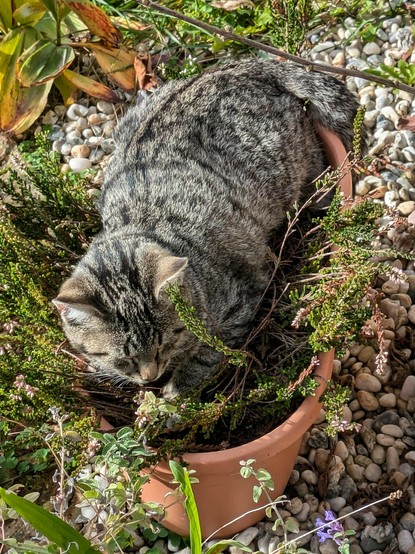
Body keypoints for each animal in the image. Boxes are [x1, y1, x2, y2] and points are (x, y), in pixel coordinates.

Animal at [53, 59, 360, 396]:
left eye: (164, 344)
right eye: (125, 360)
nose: (151, 377)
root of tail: (239, 67)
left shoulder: (243, 296)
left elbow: (209, 352)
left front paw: (176, 391)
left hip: (294, 166)